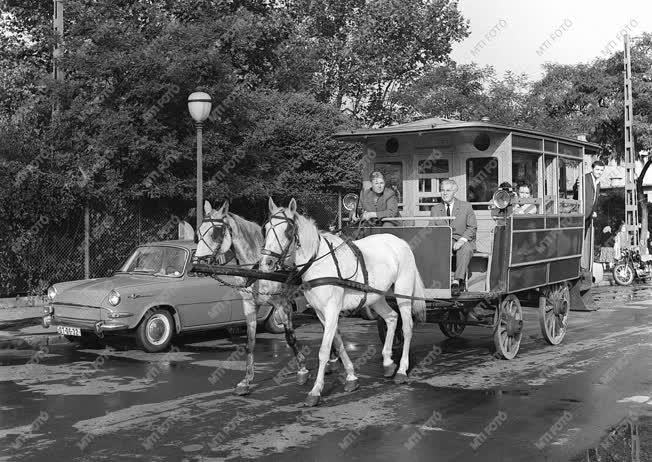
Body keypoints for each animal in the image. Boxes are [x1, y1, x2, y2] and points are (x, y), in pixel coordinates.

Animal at [192, 200, 310, 396]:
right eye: (199, 232)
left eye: (215, 233)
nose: (196, 265)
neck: (258, 269)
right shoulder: (249, 305)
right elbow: (251, 342)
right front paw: (246, 381)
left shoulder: (281, 303)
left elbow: (290, 337)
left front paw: (302, 369)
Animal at [260, 197, 428, 406]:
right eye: (266, 228)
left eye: (288, 231)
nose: (266, 263)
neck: (318, 263)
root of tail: (400, 242)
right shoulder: (321, 313)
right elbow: (338, 343)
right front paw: (351, 377)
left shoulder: (332, 309)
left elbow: (324, 350)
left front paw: (315, 391)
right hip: (376, 296)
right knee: (391, 318)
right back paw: (388, 363)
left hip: (402, 290)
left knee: (407, 326)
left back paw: (402, 370)